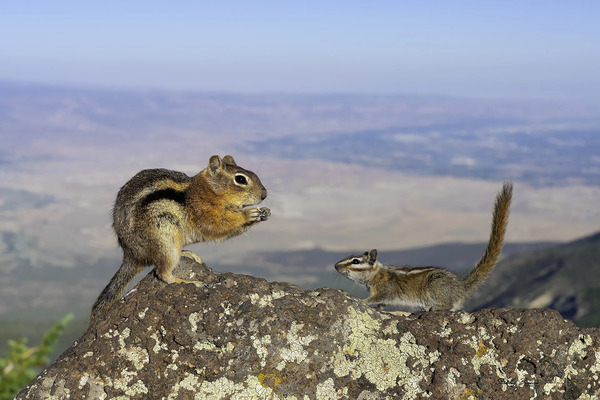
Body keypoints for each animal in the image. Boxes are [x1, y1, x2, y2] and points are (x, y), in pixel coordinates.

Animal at [91, 155, 270, 320]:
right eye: (240, 179)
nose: (264, 195)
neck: (208, 190)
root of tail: (131, 254)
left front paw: (265, 212)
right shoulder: (203, 211)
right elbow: (218, 225)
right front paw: (248, 214)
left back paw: (187, 254)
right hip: (165, 236)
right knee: (162, 273)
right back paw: (189, 282)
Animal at [332, 182, 510, 312]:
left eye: (355, 261)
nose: (335, 266)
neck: (376, 275)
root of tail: (460, 287)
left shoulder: (385, 291)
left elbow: (376, 298)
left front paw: (361, 300)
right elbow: (381, 304)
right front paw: (379, 308)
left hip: (435, 285)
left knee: (448, 305)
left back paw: (432, 307)